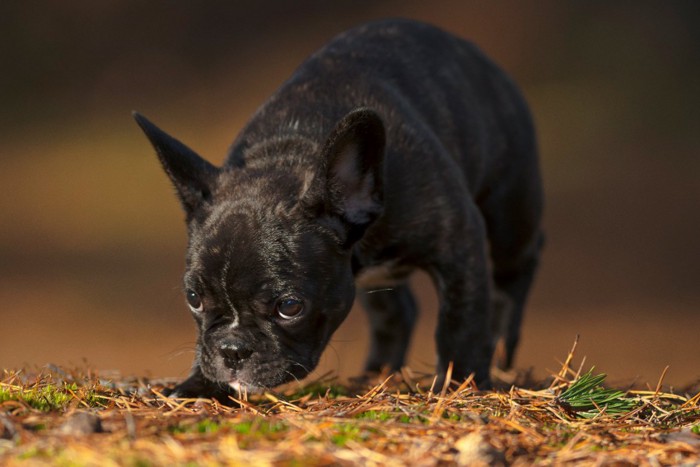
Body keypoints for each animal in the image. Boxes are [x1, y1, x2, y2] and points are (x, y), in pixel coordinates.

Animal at [134, 18, 544, 398]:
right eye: (193, 299)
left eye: (289, 306)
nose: (233, 350)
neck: (291, 151)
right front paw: (200, 385)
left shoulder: (457, 240)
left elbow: (461, 319)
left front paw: (461, 382)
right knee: (396, 311)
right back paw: (377, 373)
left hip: (510, 212)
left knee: (516, 267)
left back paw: (501, 342)